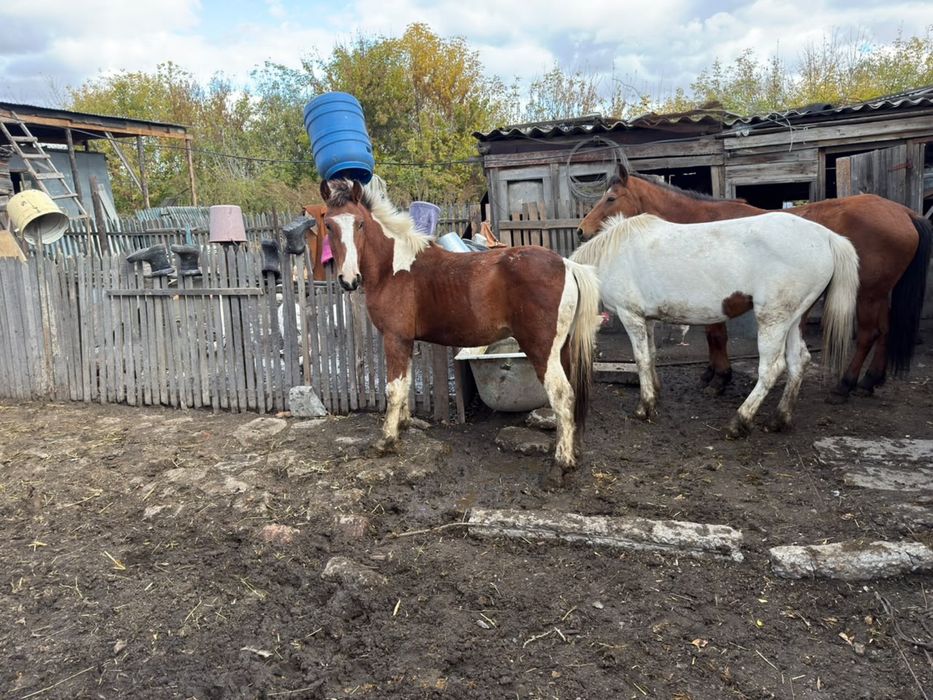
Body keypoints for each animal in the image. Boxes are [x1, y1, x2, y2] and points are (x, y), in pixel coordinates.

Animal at [320, 178, 601, 485]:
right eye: (328, 225)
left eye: (359, 224)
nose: (348, 279)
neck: (393, 269)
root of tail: (567, 265)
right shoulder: (406, 341)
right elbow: (405, 385)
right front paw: (404, 425)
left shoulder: (394, 338)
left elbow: (393, 389)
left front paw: (386, 441)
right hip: (562, 350)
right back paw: (572, 454)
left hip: (542, 351)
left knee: (562, 396)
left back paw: (560, 464)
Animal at [570, 212, 860, 437]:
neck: (611, 254)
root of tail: (827, 236)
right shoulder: (646, 319)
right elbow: (651, 356)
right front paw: (656, 393)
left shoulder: (630, 316)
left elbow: (640, 359)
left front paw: (645, 406)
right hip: (793, 319)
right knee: (799, 361)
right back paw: (779, 419)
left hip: (773, 320)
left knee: (772, 369)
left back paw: (739, 421)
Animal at [577, 164, 933, 402]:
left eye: (610, 198)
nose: (582, 230)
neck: (702, 221)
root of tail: (904, 212)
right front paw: (712, 374)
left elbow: (716, 336)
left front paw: (719, 378)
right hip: (882, 293)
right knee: (885, 330)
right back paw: (870, 380)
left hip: (868, 294)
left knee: (869, 334)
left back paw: (845, 384)